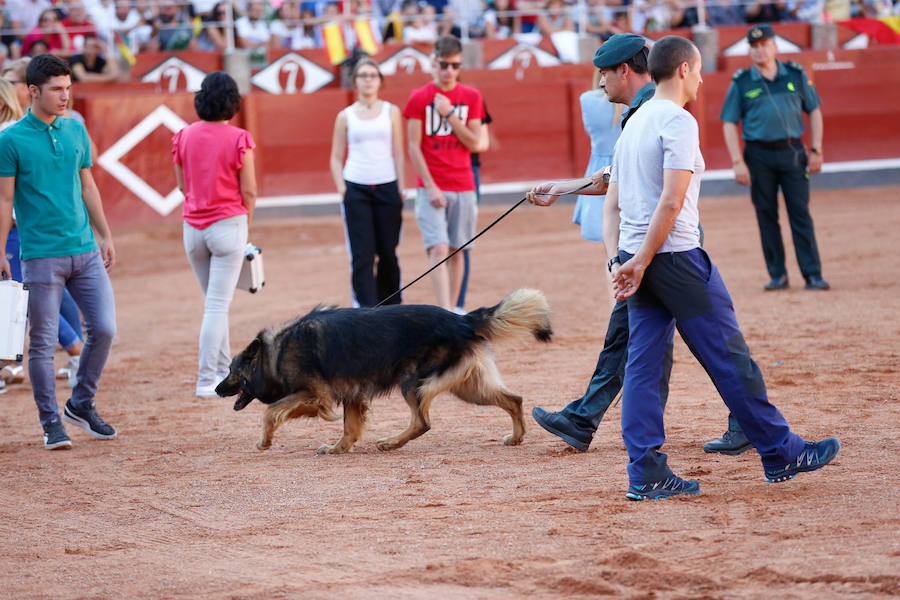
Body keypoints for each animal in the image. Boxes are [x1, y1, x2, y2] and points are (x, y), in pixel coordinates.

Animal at [219, 288, 556, 452]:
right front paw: (339, 449)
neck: (276, 352)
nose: (216, 388)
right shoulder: (351, 394)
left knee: (422, 421)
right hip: (469, 388)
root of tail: (461, 320)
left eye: (231, 370)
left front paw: (264, 441)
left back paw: (391, 443)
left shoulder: (315, 396)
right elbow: (349, 427)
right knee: (514, 399)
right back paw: (516, 438)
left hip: (414, 382)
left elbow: (270, 411)